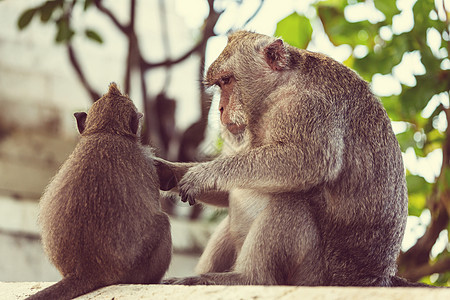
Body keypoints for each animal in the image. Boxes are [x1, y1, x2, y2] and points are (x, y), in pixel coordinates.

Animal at [158, 29, 428, 286]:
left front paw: (203, 175)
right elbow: (229, 191)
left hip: (315, 274)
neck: (277, 92)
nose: (221, 108)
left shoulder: (309, 106)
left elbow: (309, 160)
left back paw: (249, 278)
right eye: (219, 84)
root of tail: (374, 277)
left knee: (290, 199)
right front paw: (169, 172)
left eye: (226, 80)